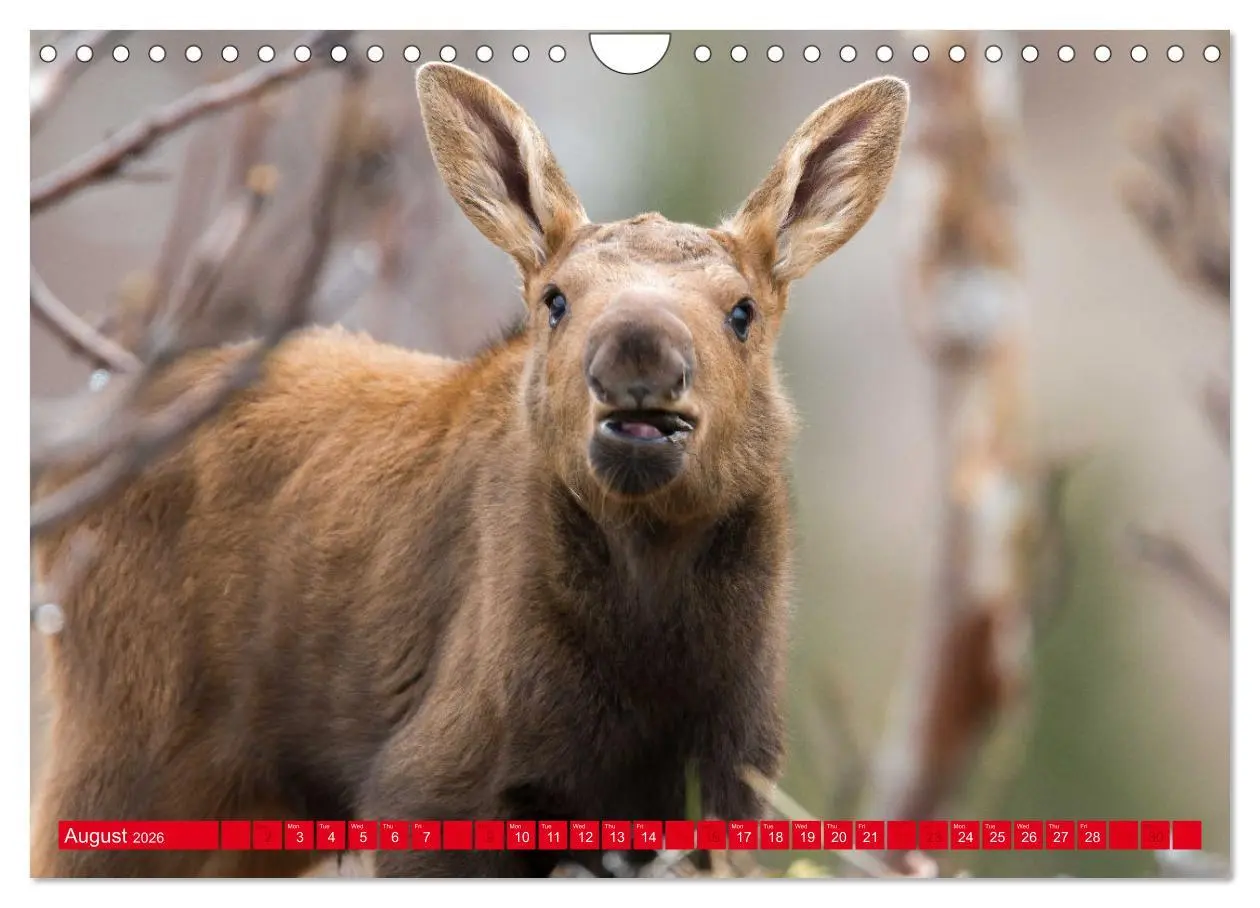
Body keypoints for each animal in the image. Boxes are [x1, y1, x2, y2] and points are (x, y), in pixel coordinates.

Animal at [31, 62, 909, 878]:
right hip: (123, 750)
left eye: (742, 310)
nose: (638, 353)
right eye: (555, 298)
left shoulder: (720, 805)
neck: (652, 652)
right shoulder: (431, 789)